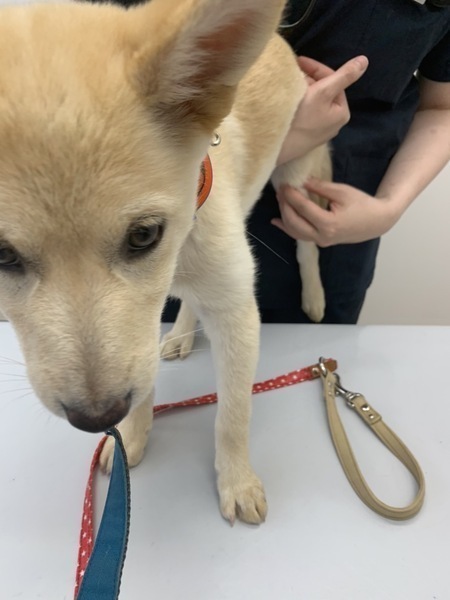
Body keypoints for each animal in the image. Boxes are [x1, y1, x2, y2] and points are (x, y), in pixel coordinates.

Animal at [0, 0, 330, 524]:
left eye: (144, 234)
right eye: (1, 254)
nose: (97, 418)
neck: (178, 246)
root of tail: (279, 43)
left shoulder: (236, 313)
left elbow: (233, 413)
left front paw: (237, 480)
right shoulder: (140, 326)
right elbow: (141, 379)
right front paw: (132, 434)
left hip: (293, 178)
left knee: (307, 244)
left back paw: (314, 297)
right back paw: (180, 335)